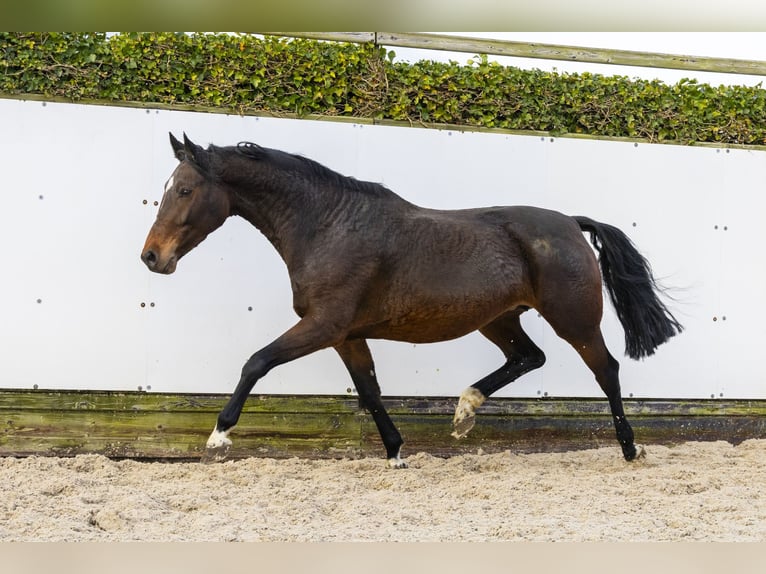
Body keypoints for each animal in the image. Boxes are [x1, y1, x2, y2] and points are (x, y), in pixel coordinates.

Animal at [142, 133, 684, 470]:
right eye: (165, 189)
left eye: (185, 189)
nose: (151, 257)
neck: (328, 226)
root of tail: (571, 222)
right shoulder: (346, 335)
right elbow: (370, 391)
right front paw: (396, 454)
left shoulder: (323, 325)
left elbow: (256, 362)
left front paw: (218, 438)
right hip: (498, 319)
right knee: (529, 357)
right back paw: (464, 413)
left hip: (574, 319)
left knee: (606, 370)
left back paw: (631, 449)